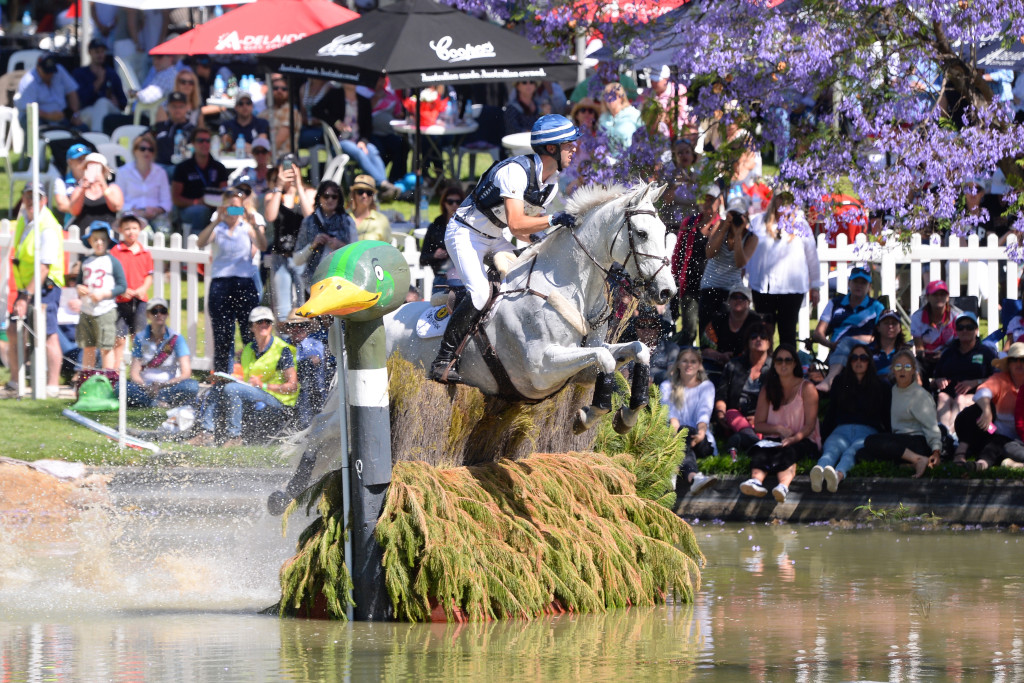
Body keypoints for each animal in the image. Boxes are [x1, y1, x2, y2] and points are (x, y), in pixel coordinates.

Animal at [382, 181, 671, 432]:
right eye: (642, 234)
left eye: (665, 232)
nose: (666, 291)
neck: (571, 289)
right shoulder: (541, 367)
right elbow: (606, 358)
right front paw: (588, 417)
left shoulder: (586, 367)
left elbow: (637, 350)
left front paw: (628, 416)